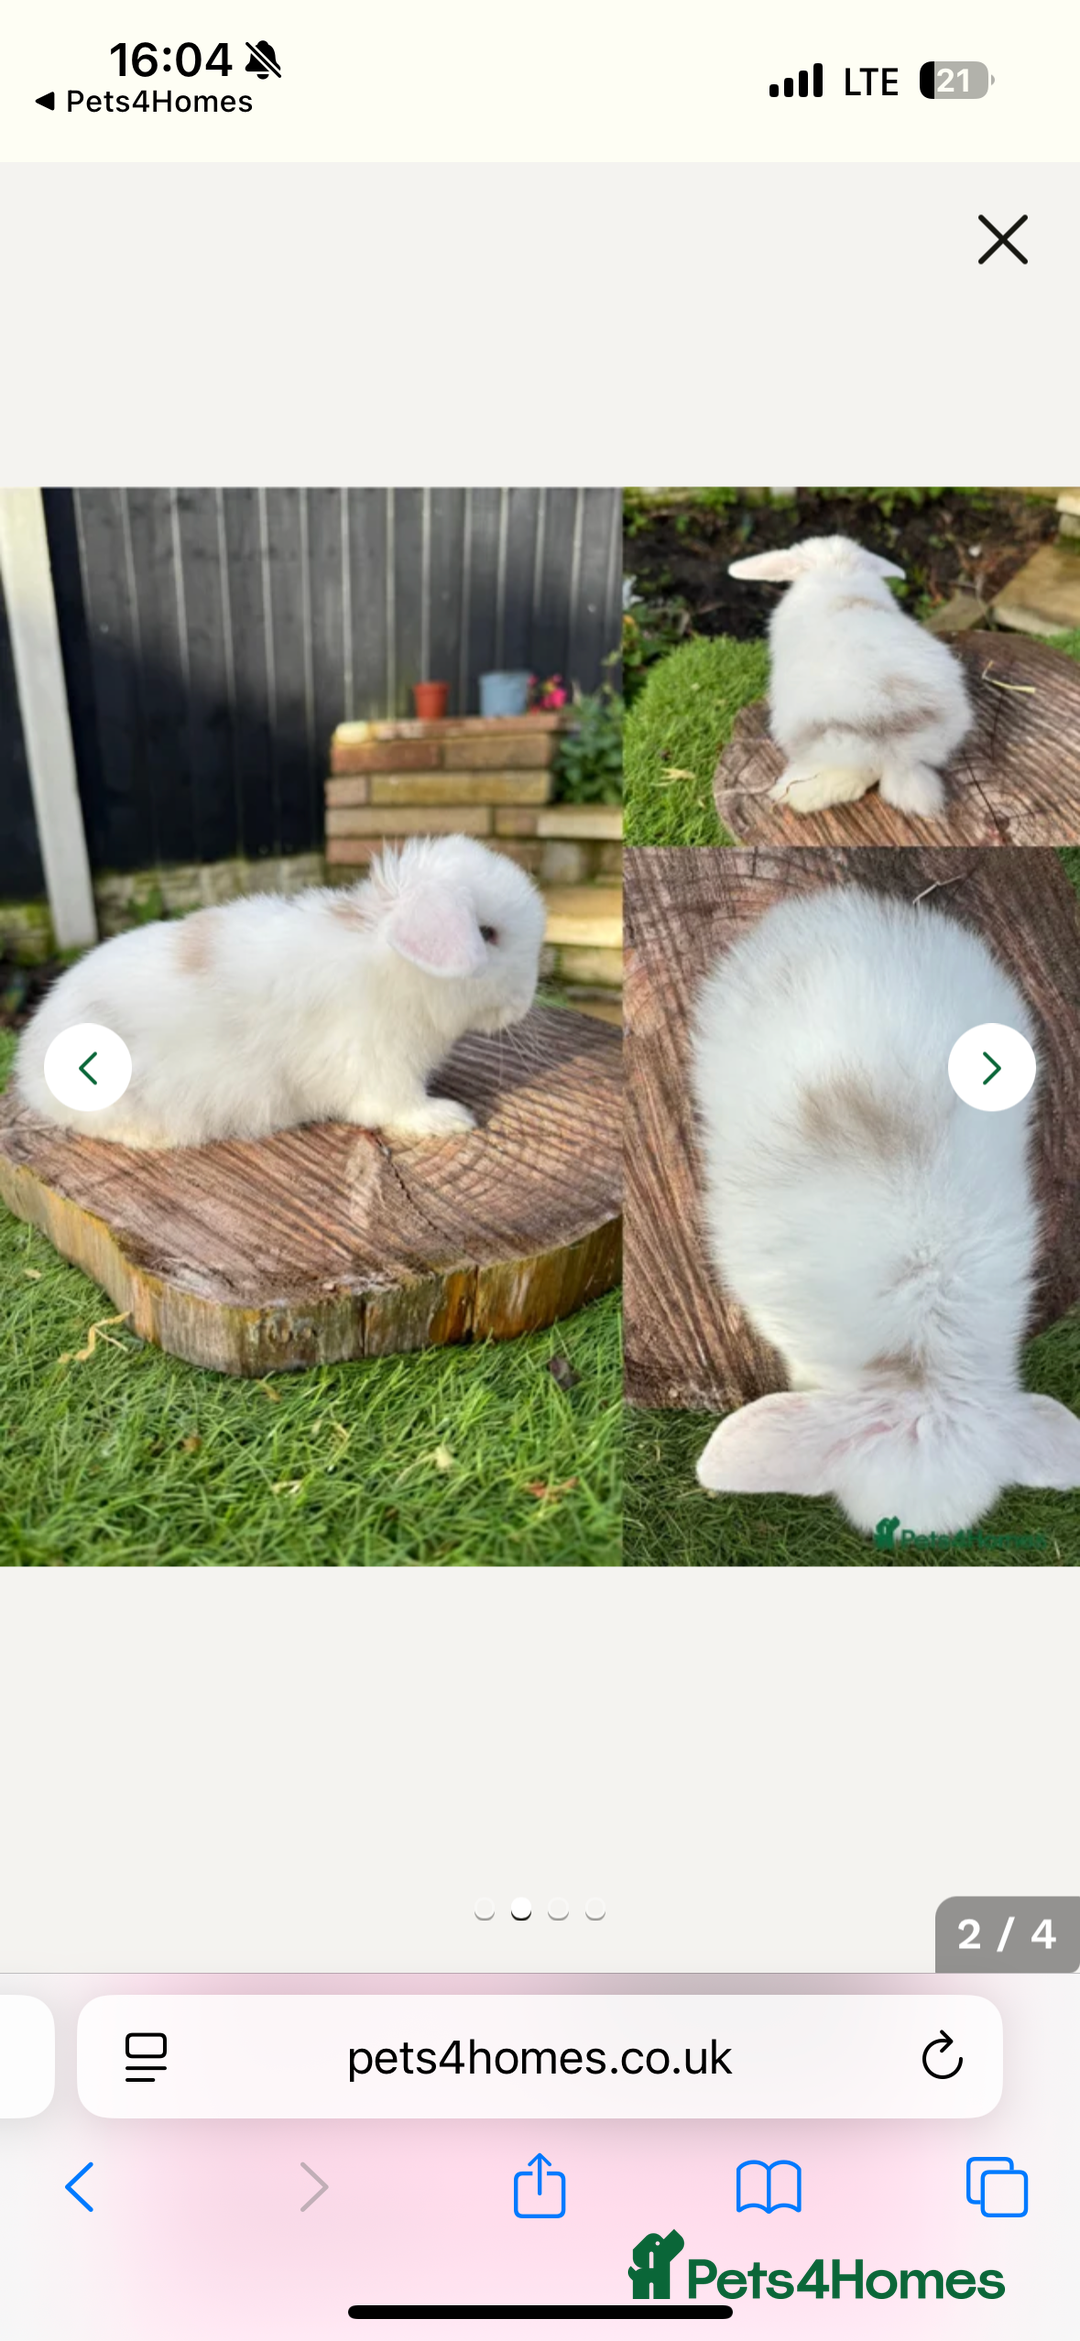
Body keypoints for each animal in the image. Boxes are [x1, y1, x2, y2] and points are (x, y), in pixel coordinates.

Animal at [16, 834, 547, 1150]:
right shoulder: (380, 1067)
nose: (526, 1000)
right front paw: (449, 1118)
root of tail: (29, 1059)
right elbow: (397, 1107)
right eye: (488, 933)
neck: (394, 965)